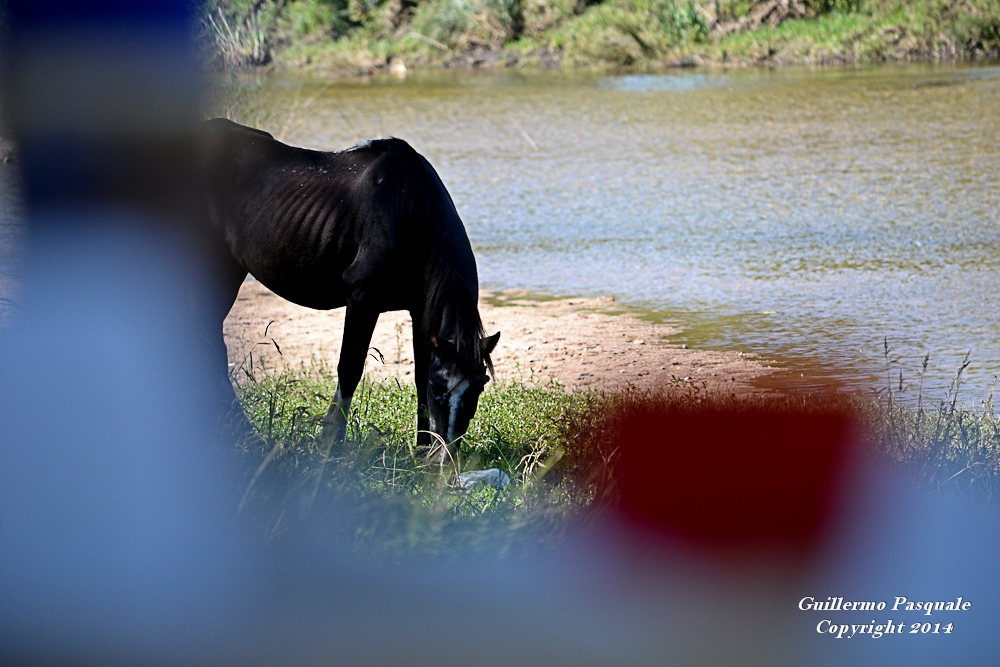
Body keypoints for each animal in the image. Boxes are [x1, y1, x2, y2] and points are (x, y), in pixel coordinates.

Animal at [198, 117, 500, 456]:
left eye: (479, 386)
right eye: (439, 387)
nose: (443, 457)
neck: (407, 211)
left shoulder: (422, 312)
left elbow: (419, 371)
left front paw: (419, 449)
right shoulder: (363, 299)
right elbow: (350, 368)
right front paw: (330, 442)